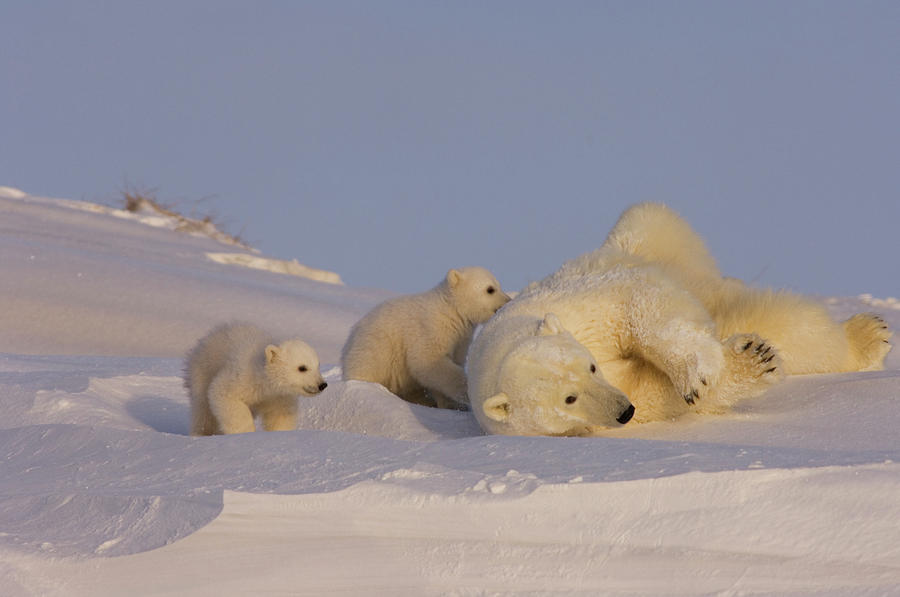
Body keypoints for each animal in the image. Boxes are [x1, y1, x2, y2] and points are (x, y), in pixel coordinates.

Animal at [468, 203, 888, 436]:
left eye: (590, 367)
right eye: (568, 398)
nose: (622, 411)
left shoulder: (576, 307)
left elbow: (637, 304)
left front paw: (698, 374)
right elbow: (658, 396)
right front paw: (751, 361)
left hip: (649, 241)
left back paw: (868, 335)